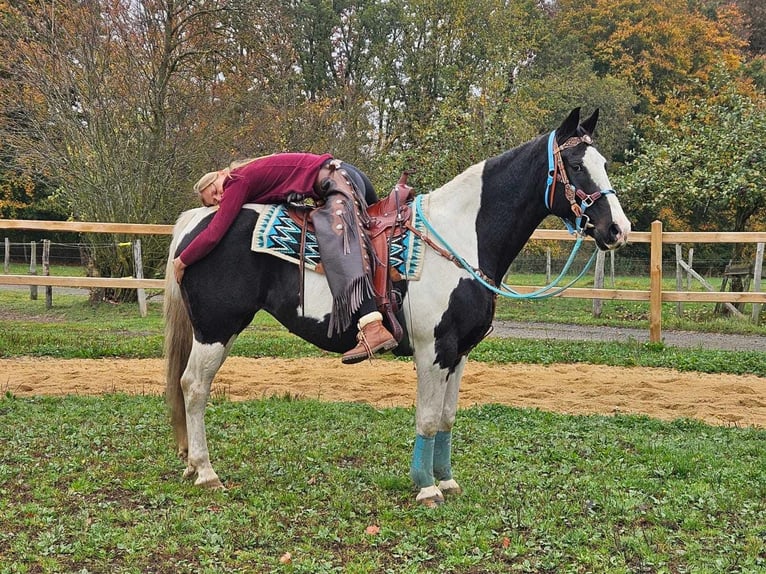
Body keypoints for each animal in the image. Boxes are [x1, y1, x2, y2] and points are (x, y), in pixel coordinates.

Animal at [162, 108, 632, 508]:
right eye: (576, 165)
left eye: (604, 162)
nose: (618, 229)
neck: (460, 237)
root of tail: (197, 222)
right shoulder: (432, 350)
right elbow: (426, 418)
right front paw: (426, 488)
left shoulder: (459, 353)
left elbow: (447, 418)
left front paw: (446, 480)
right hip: (216, 329)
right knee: (194, 387)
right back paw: (206, 472)